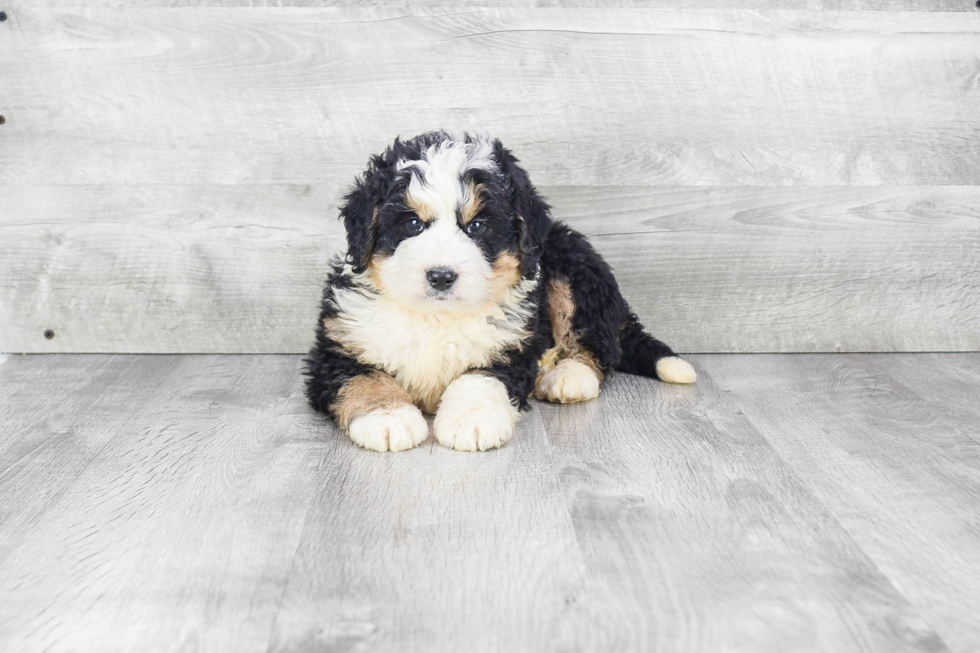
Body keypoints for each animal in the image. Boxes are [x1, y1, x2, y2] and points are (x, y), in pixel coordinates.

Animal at [306, 130, 696, 450]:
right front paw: (388, 418)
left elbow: (480, 379)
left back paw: (568, 376)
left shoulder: (512, 346)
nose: (441, 276)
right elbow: (363, 377)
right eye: (413, 223)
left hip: (573, 267)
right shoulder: (338, 345)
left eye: (477, 226)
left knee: (597, 342)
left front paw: (472, 420)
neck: (437, 316)